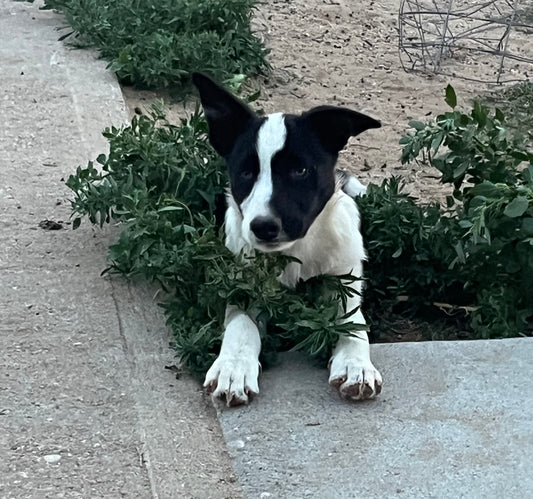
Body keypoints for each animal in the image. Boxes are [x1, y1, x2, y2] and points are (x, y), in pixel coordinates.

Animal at [191, 74, 382, 408]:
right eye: (246, 172)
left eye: (300, 169)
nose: (263, 226)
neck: (295, 253)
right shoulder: (241, 281)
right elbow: (240, 322)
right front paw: (233, 366)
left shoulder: (344, 277)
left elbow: (353, 320)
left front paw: (355, 364)